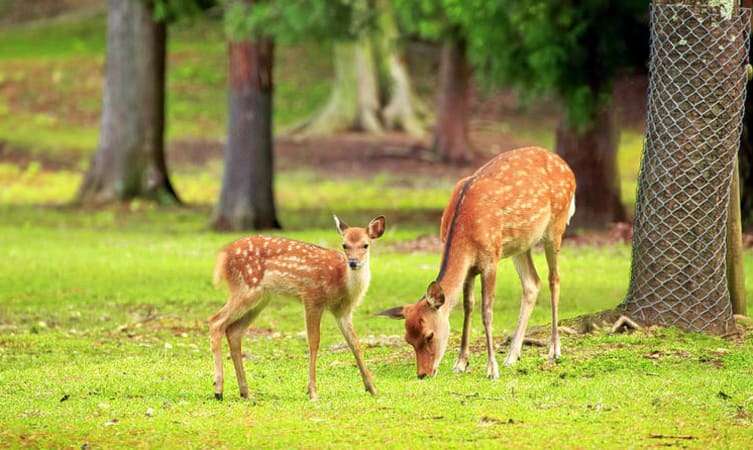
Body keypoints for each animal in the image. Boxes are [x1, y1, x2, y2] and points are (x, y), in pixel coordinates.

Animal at [209, 215, 385, 401]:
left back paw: (245, 392)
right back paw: (218, 389)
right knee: (216, 321)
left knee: (234, 331)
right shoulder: (312, 298)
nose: (353, 263)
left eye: (365, 245)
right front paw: (313, 392)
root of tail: (223, 256)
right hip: (246, 288)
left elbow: (355, 343)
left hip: (260, 298)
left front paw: (372, 388)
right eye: (344, 245)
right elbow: (314, 342)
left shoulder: (343, 311)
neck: (341, 281)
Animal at [379, 147, 576, 379]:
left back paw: (554, 350)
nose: (423, 374)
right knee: (532, 283)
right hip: (521, 243)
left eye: (429, 335)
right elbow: (468, 307)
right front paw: (461, 363)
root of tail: (567, 167)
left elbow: (486, 311)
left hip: (556, 225)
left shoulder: (491, 259)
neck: (466, 230)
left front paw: (492, 369)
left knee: (554, 279)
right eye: (408, 339)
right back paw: (512, 356)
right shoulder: (470, 268)